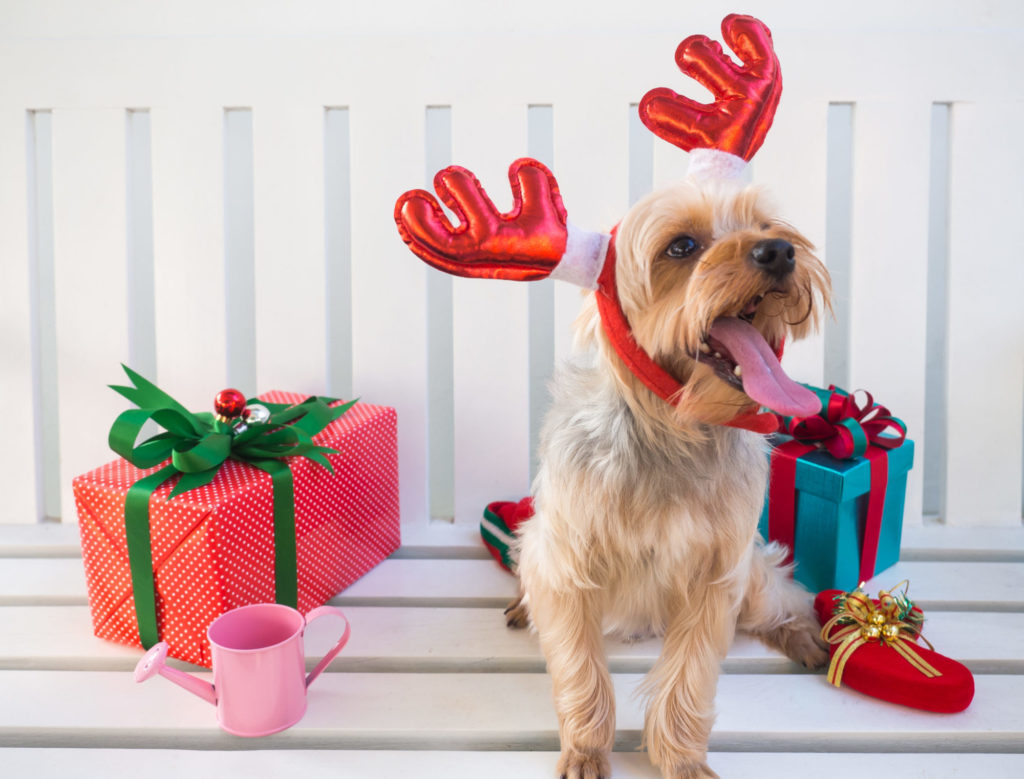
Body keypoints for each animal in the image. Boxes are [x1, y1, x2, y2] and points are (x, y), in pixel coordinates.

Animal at [503, 178, 831, 777]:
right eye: (681, 246)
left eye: (767, 226)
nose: (780, 251)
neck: (675, 428)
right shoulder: (563, 565)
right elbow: (581, 668)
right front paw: (586, 749)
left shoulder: (719, 573)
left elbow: (690, 675)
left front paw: (682, 759)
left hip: (754, 577)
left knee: (781, 595)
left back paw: (803, 637)